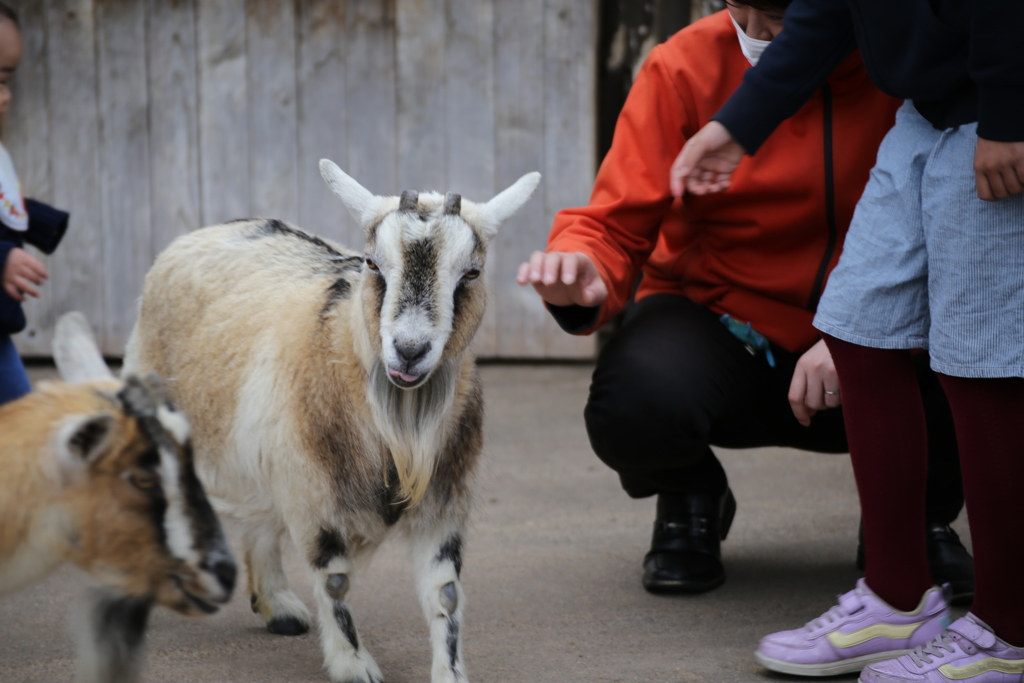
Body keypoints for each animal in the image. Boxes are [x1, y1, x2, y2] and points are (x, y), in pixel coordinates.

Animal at [122, 162, 540, 683]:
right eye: (373, 264)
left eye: (472, 272)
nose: (409, 350)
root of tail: (207, 231)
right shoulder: (315, 499)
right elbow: (336, 582)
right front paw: (354, 666)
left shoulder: (443, 503)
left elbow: (445, 592)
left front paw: (451, 674)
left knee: (261, 520)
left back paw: (279, 607)